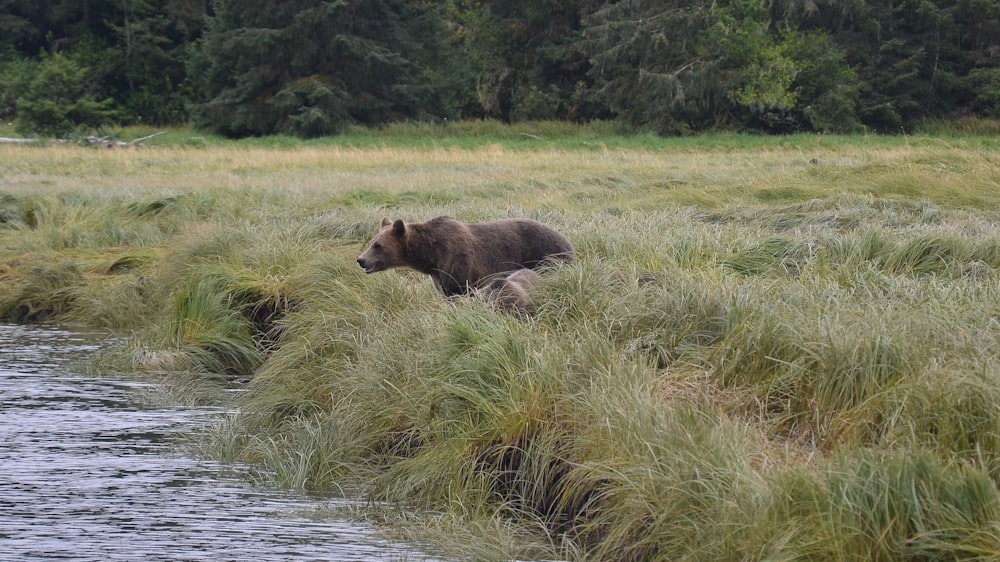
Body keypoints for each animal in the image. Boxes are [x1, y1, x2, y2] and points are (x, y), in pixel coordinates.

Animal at [360, 213, 576, 296]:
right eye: (371, 242)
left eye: (378, 245)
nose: (361, 260)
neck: (430, 256)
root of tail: (568, 242)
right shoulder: (439, 276)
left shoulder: (456, 264)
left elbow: (458, 292)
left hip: (547, 257)